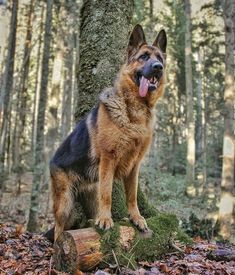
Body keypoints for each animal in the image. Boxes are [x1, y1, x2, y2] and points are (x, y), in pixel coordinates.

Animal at [50, 25, 167, 242]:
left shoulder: (135, 166)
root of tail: (52, 160)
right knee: (58, 230)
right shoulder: (108, 159)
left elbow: (132, 195)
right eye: (144, 57)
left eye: (160, 59)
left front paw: (136, 217)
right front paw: (106, 219)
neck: (134, 111)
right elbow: (107, 193)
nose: (158, 67)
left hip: (87, 197)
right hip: (64, 205)